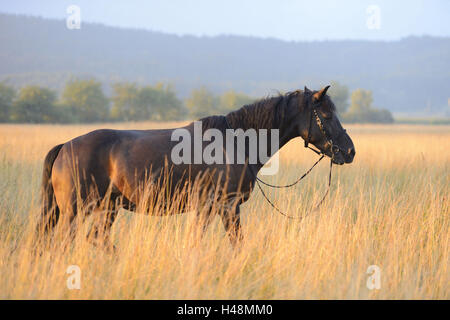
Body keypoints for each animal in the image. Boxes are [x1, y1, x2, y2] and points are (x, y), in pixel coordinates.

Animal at [37, 85, 356, 250]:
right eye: (327, 115)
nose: (350, 151)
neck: (235, 142)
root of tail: (66, 146)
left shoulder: (218, 209)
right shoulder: (223, 206)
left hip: (107, 209)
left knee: (97, 240)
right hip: (75, 211)